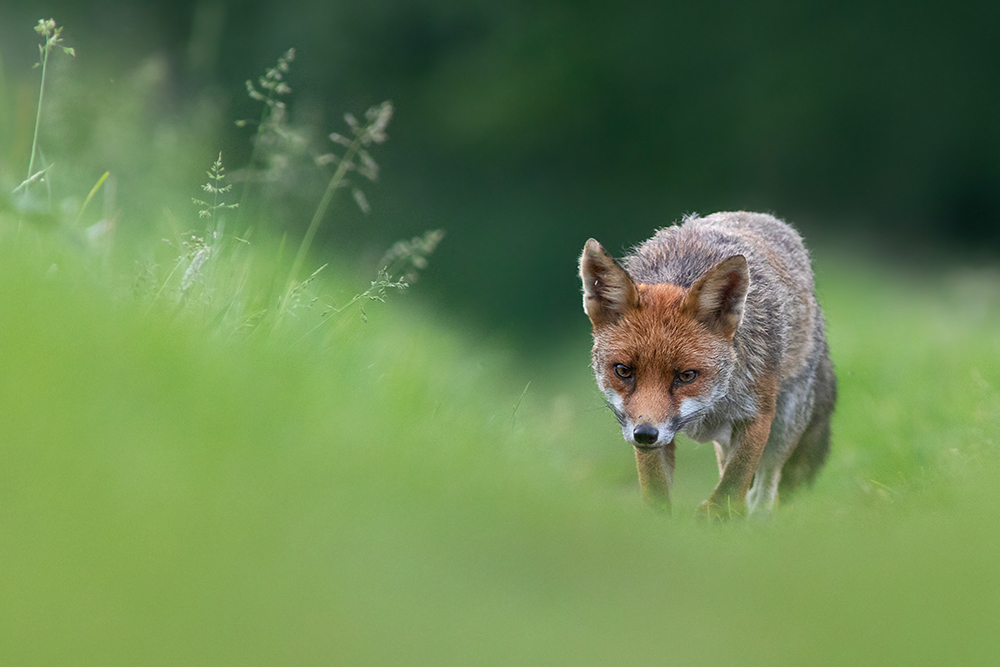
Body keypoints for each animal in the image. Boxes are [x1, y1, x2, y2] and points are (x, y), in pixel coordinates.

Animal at [580, 210, 836, 516]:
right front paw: (660, 522)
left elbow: (734, 481)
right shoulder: (644, 430)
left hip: (786, 421)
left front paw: (718, 515)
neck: (711, 405)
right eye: (623, 371)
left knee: (765, 489)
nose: (645, 434)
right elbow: (656, 490)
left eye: (687, 375)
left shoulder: (758, 413)